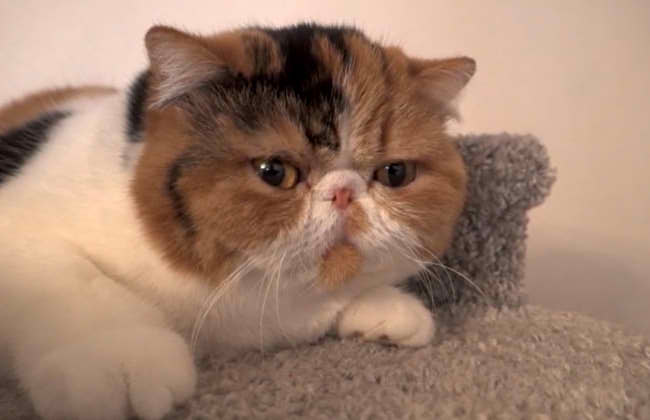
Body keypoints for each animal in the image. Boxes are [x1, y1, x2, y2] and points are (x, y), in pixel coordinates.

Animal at [0, 23, 473, 420]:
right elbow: (82, 282)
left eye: (395, 173)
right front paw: (121, 360)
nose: (344, 192)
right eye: (274, 171)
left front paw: (387, 308)